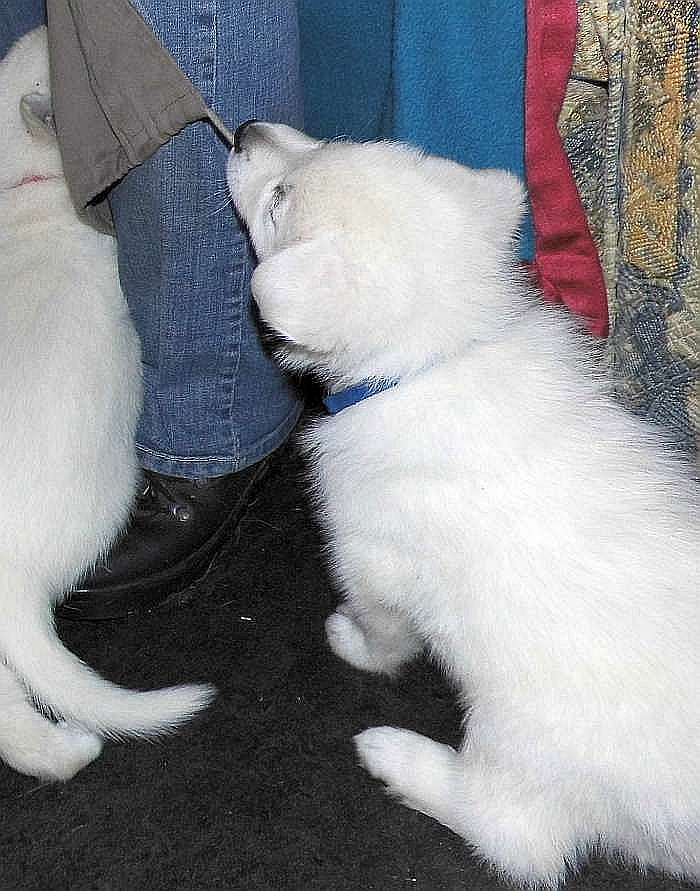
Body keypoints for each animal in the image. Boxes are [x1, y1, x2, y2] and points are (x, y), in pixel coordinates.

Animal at [228, 122, 700, 888]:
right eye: (325, 138)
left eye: (278, 201)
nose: (243, 130)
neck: (434, 357)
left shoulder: (368, 560)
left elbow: (381, 630)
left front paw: (353, 644)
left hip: (520, 744)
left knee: (513, 836)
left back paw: (398, 756)